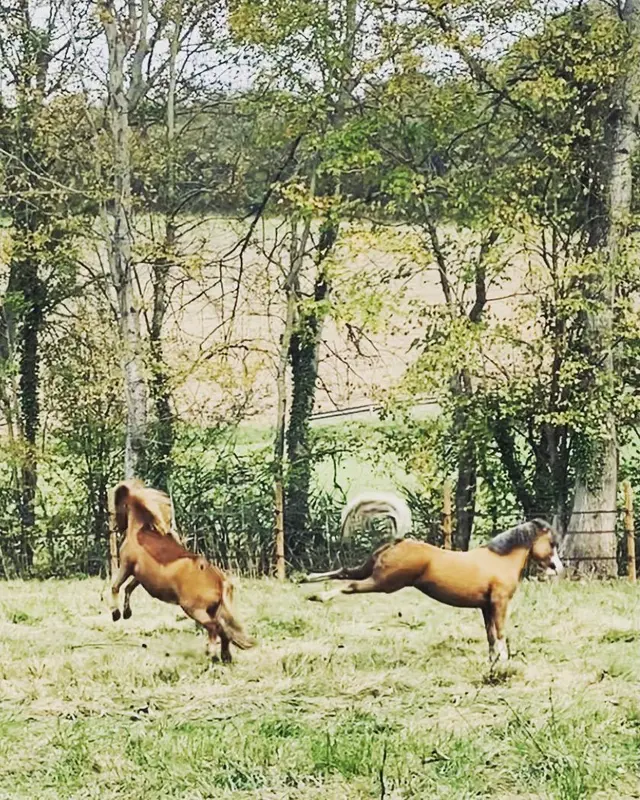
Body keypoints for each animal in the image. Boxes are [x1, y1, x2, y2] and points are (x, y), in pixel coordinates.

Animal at [109, 481, 255, 663]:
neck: (139, 532)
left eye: (117, 506)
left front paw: (116, 613)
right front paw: (127, 612)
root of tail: (221, 582)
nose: (114, 527)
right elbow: (129, 588)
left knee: (214, 627)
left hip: (194, 610)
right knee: (224, 630)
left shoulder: (126, 566)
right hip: (212, 610)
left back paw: (212, 654)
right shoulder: (139, 576)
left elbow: (116, 586)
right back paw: (224, 656)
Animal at [304, 519, 563, 662]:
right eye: (551, 544)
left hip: (371, 573)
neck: (500, 560)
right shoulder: (499, 603)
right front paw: (505, 661)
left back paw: (307, 581)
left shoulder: (485, 606)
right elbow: (499, 633)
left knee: (343, 572)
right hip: (383, 583)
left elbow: (490, 635)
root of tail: (399, 542)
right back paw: (319, 596)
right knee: (350, 586)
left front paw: (494, 662)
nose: (558, 568)